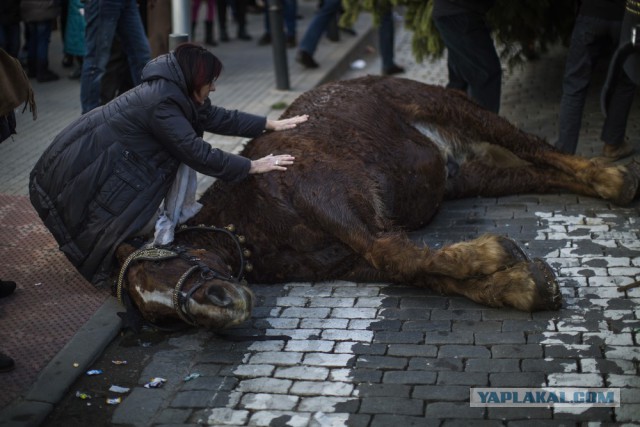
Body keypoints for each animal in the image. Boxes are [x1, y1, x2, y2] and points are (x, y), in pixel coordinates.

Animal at [115, 76, 640, 332]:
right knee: (537, 171)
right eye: (157, 316)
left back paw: (615, 178)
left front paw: (496, 254)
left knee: (534, 145)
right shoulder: (351, 261)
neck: (256, 216)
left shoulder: (344, 209)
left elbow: (397, 253)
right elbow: (421, 271)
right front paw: (520, 285)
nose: (222, 306)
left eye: (165, 260)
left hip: (451, 106)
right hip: (472, 177)